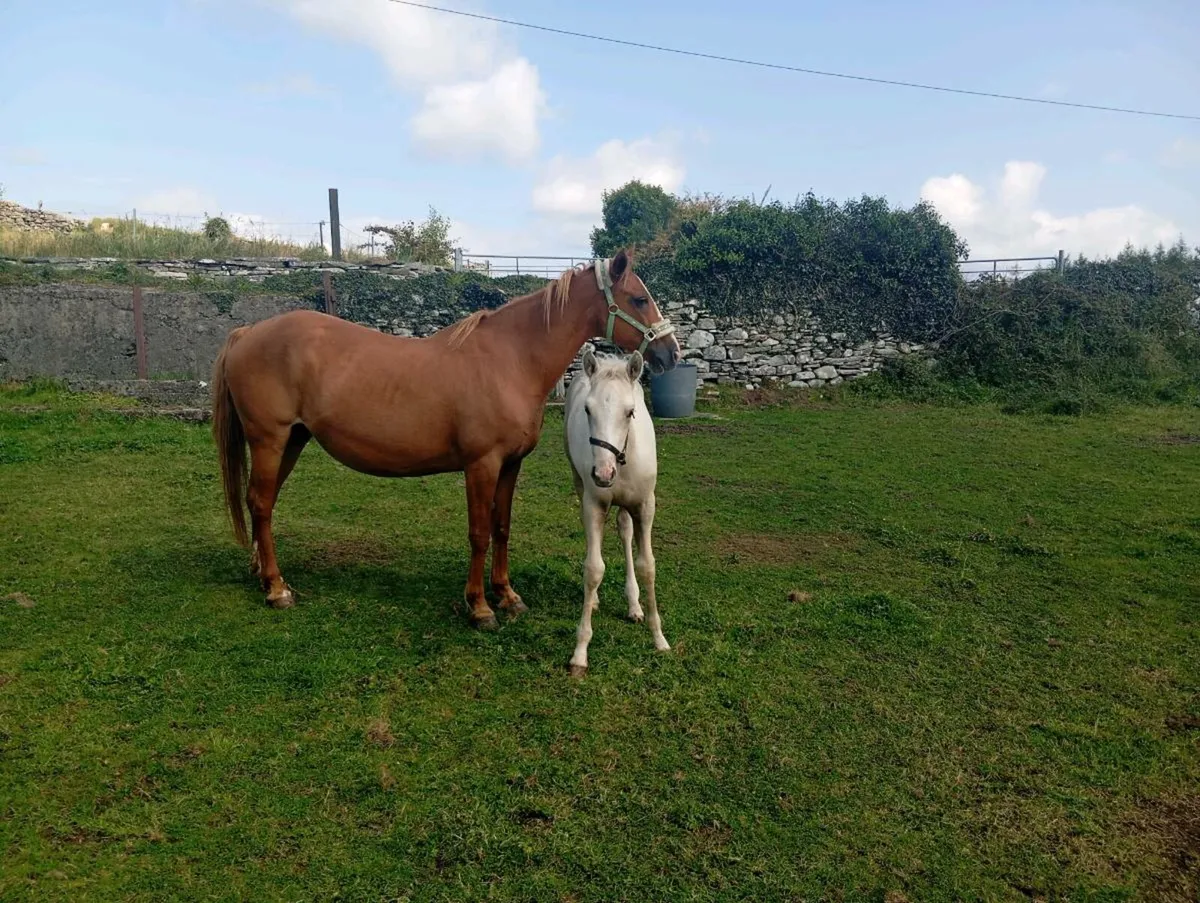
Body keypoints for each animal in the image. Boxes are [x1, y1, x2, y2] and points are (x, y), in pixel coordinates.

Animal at [209, 249, 681, 629]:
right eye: (639, 299)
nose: (672, 352)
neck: (509, 359)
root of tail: (247, 333)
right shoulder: (481, 465)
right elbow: (478, 532)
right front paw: (480, 607)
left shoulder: (511, 464)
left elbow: (502, 527)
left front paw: (507, 596)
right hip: (270, 440)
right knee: (261, 504)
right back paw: (277, 588)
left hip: (292, 441)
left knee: (261, 502)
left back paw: (262, 573)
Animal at [563, 349, 670, 676]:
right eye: (587, 410)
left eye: (630, 411)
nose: (603, 473)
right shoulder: (594, 504)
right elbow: (594, 568)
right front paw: (580, 653)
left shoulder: (646, 505)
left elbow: (647, 566)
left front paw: (659, 637)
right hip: (579, 483)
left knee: (624, 530)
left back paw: (634, 605)